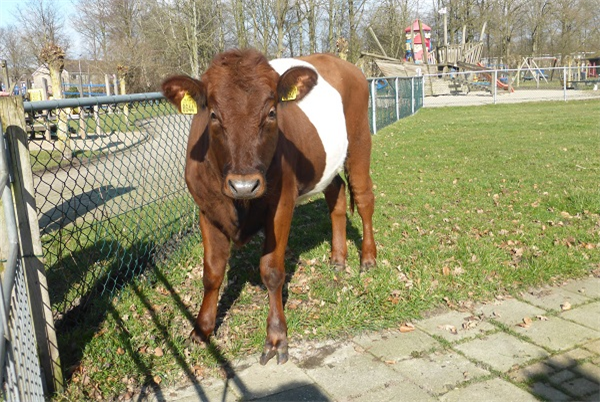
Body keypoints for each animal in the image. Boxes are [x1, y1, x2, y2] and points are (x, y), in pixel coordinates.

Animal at [159, 48, 376, 366]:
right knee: (336, 194)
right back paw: (338, 258)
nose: (244, 184)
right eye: (213, 114)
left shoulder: (282, 202)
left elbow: (272, 271)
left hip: (360, 141)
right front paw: (201, 329)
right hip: (326, 165)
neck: (239, 204)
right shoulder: (206, 208)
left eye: (272, 112)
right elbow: (212, 272)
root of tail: (339, 61)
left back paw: (368, 258)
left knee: (363, 197)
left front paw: (276, 338)